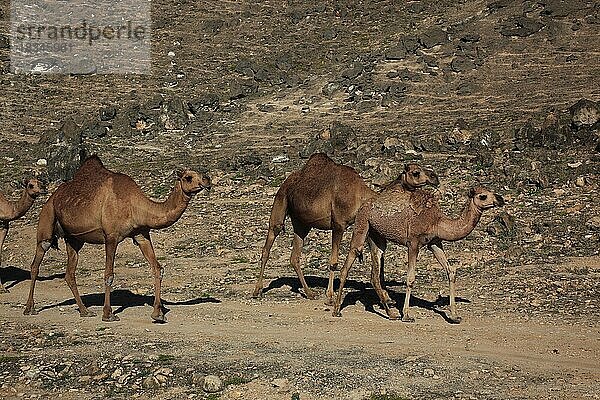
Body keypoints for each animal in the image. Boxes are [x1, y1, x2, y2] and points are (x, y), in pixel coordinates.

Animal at [22, 155, 211, 324]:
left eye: (201, 173)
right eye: (188, 177)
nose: (207, 180)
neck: (136, 206)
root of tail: (52, 196)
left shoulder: (141, 234)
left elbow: (157, 268)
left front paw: (158, 314)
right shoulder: (111, 237)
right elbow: (109, 274)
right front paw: (108, 314)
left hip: (74, 238)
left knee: (69, 273)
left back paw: (85, 311)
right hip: (47, 219)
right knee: (36, 263)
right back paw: (29, 308)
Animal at [251, 154, 438, 306]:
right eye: (415, 172)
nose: (435, 177)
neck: (361, 196)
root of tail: (288, 180)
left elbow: (378, 263)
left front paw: (387, 298)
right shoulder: (338, 224)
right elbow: (334, 261)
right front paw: (330, 296)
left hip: (301, 223)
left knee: (294, 256)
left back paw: (310, 293)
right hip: (280, 201)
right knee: (268, 244)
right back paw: (257, 291)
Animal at [330, 186, 504, 324]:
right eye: (483, 196)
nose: (500, 199)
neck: (437, 221)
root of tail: (364, 204)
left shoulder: (434, 242)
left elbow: (451, 271)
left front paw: (455, 316)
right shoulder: (413, 243)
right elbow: (411, 278)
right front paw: (407, 315)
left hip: (376, 235)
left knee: (374, 273)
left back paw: (391, 314)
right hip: (362, 223)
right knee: (350, 259)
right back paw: (336, 310)